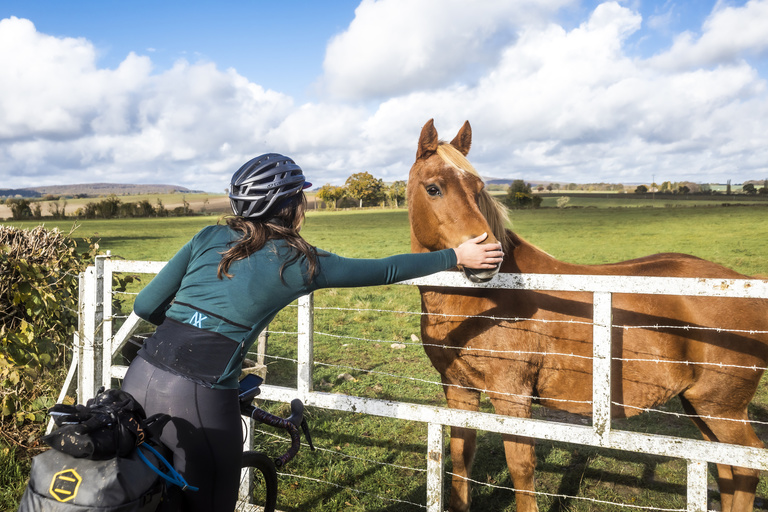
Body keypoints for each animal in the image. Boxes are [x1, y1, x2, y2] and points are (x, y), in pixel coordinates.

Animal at [408, 119, 768, 512]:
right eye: (433, 188)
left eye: (478, 189)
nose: (489, 258)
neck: (483, 304)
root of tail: (748, 283)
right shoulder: (458, 389)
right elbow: (461, 457)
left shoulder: (511, 395)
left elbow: (520, 466)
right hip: (700, 405)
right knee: (727, 468)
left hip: (722, 408)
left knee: (747, 467)